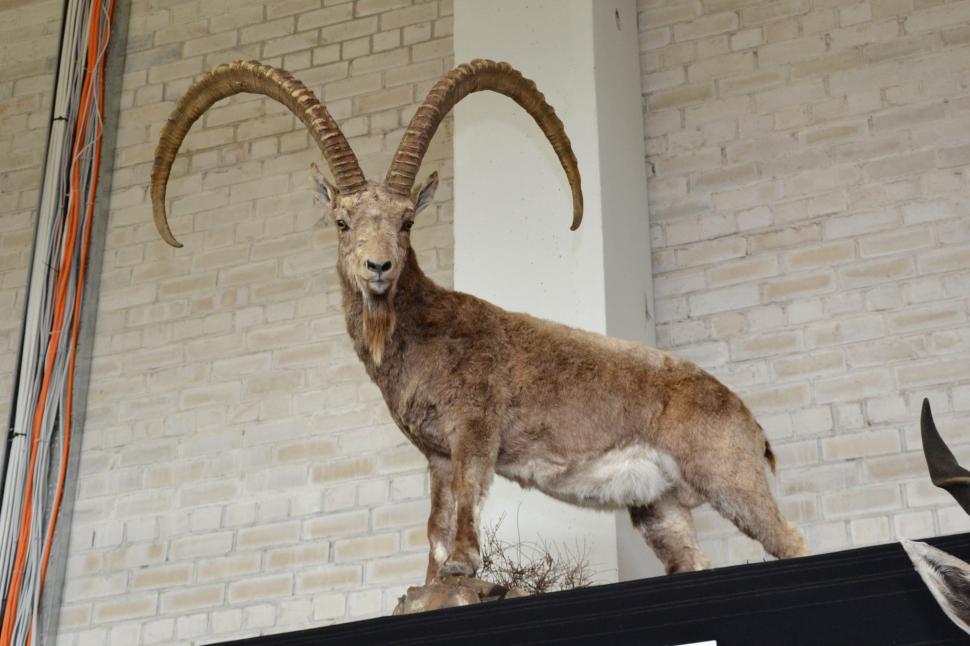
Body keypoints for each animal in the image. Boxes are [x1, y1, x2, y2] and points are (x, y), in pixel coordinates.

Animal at [151, 59, 809, 582]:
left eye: (407, 220)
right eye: (341, 221)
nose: (378, 267)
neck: (426, 332)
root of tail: (751, 424)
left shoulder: (475, 427)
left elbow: (471, 495)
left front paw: (465, 567)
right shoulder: (436, 455)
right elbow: (436, 523)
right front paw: (432, 578)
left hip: (730, 477)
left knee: (792, 541)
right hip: (661, 508)